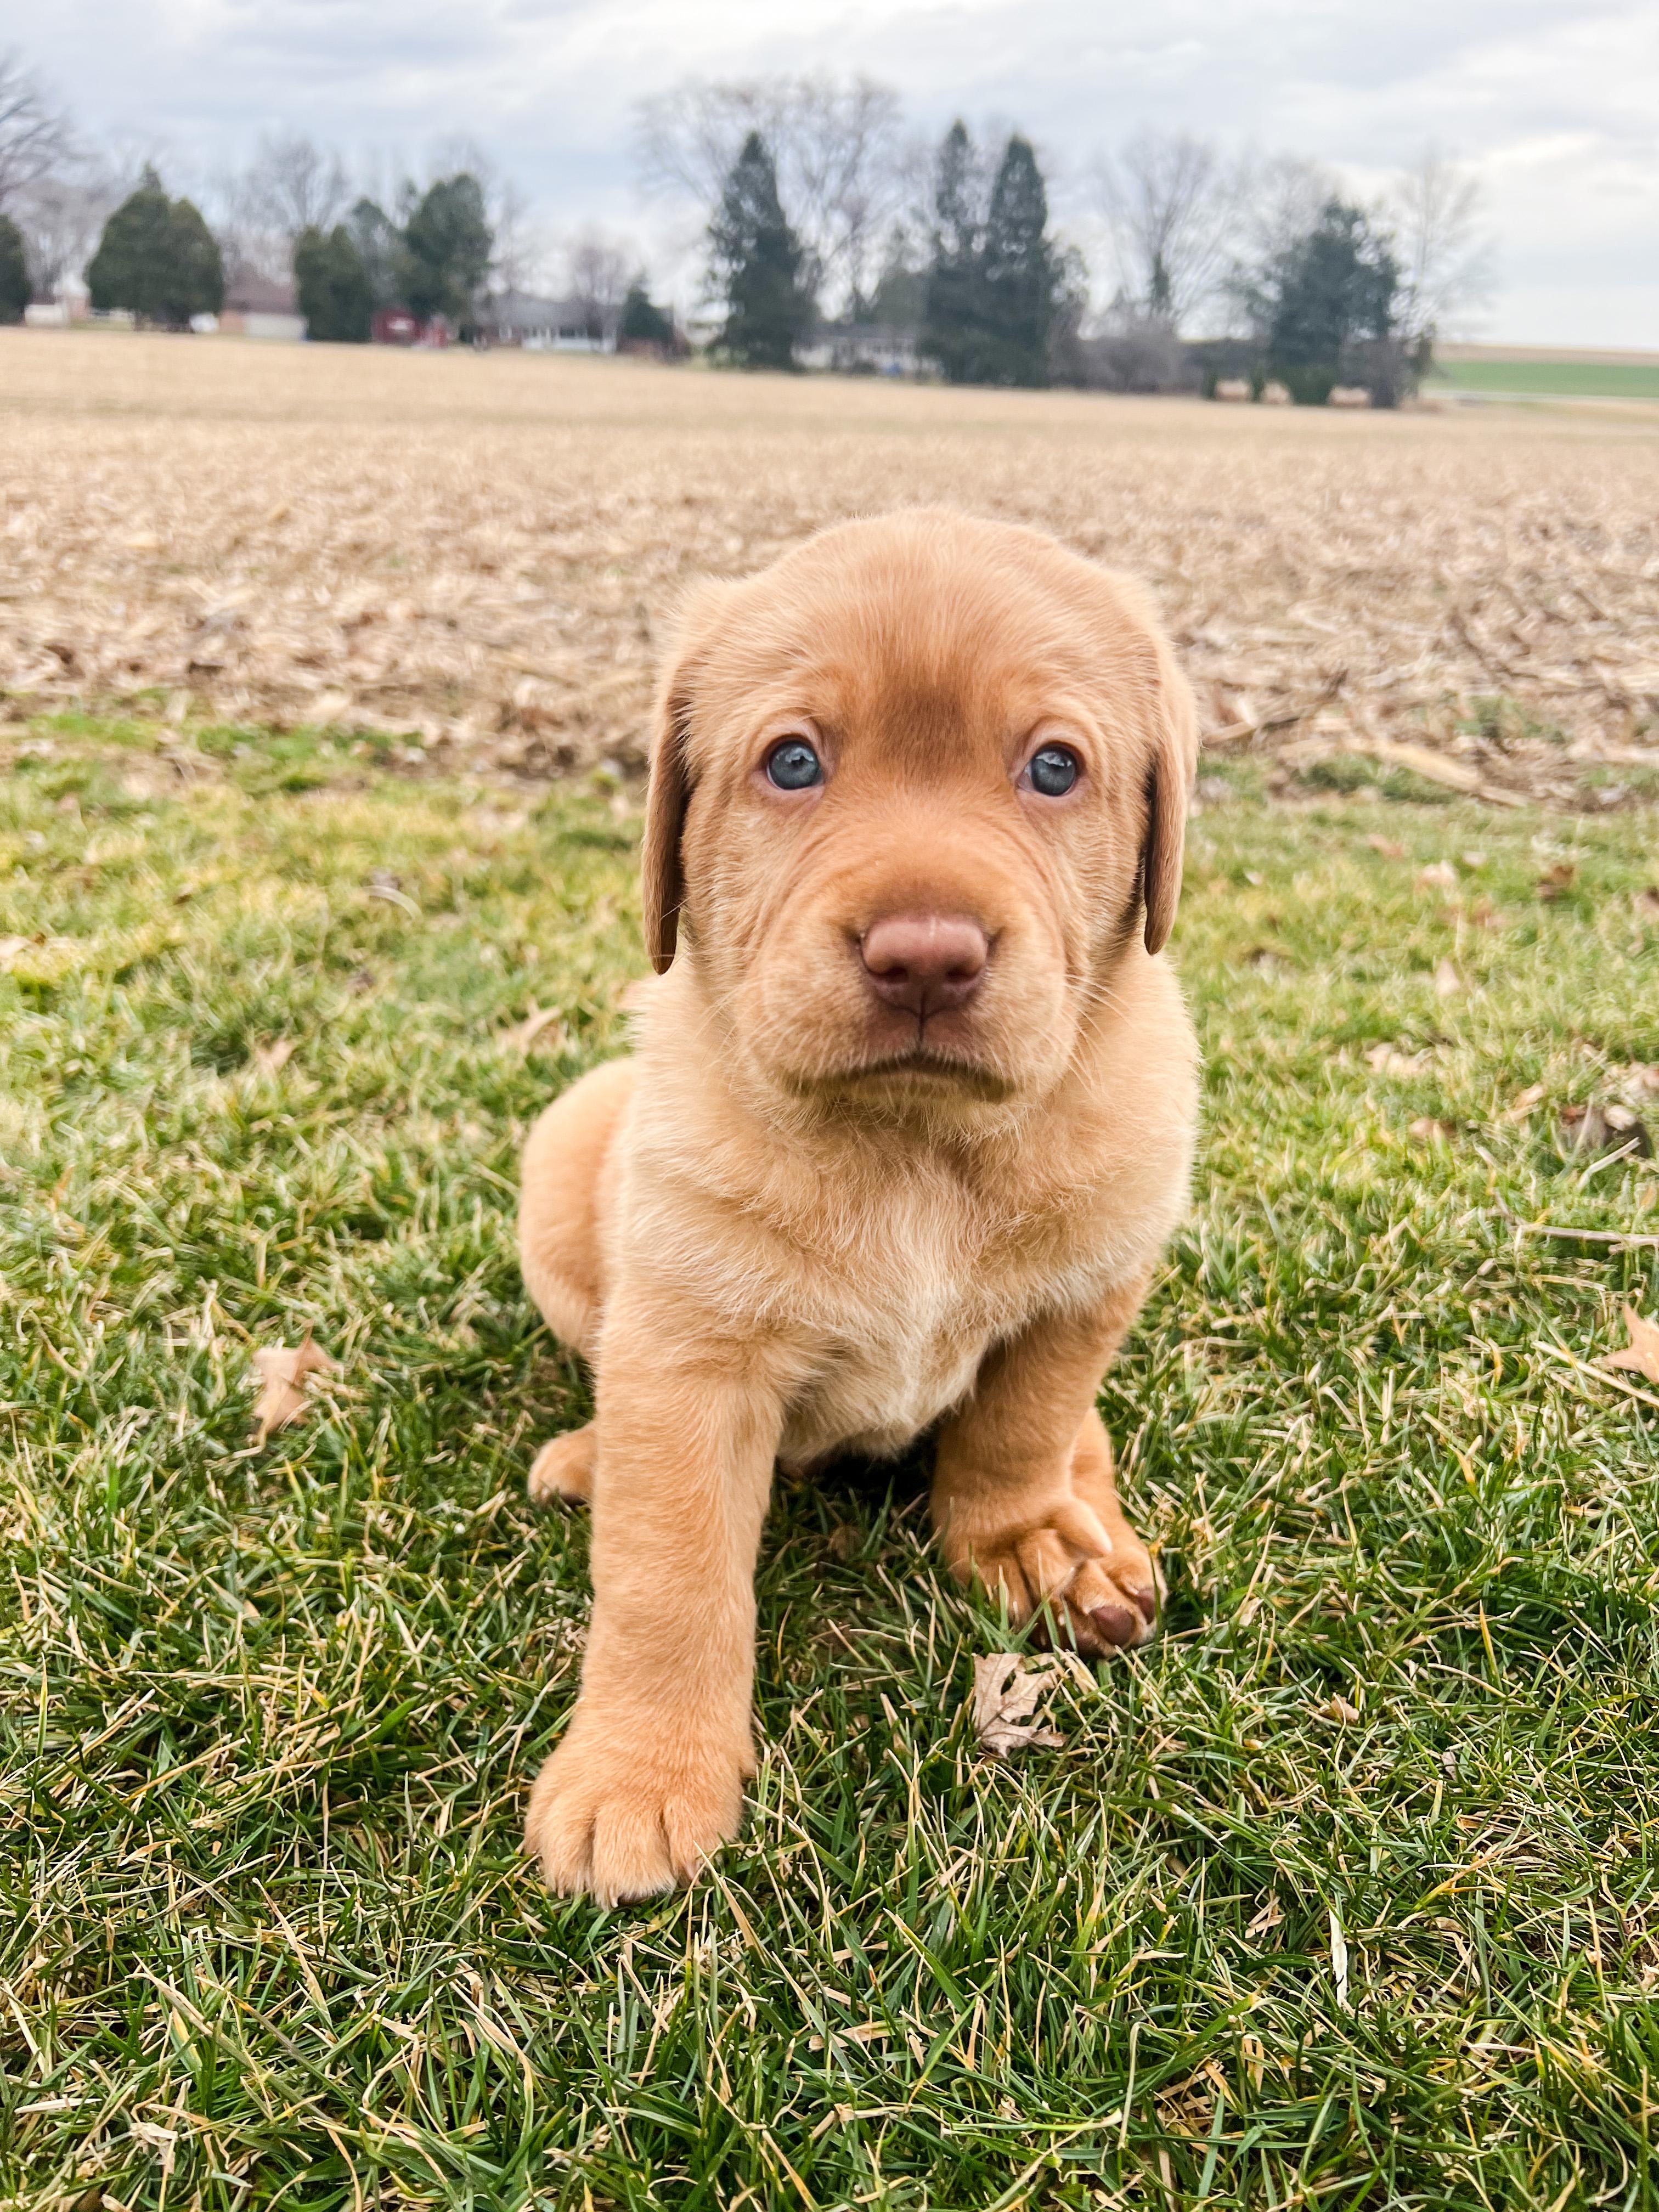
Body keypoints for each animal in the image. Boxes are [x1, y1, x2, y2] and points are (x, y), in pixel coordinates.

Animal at [517, 508, 1200, 1903]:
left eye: (1056, 769)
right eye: (792, 761)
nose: (925, 954)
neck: (916, 1145)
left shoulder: (1095, 1276)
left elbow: (1023, 1425)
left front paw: (1022, 1534)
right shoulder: (688, 1355)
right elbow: (669, 1580)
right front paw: (639, 1777)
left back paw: (1082, 1532)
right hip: (561, 1166)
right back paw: (590, 1453)